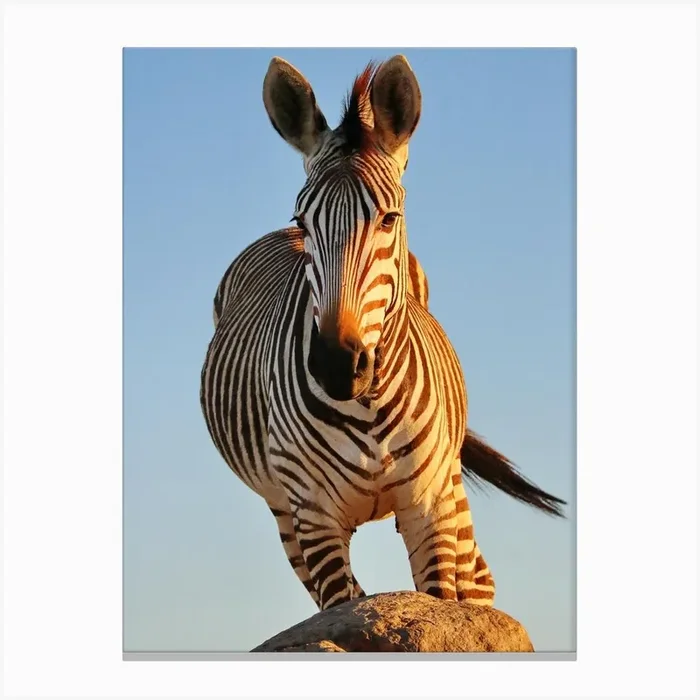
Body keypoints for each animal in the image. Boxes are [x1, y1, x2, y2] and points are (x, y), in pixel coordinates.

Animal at [200, 55, 565, 612]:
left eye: (390, 218)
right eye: (303, 222)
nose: (336, 365)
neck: (368, 405)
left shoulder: (430, 508)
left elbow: (439, 603)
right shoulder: (313, 517)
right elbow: (348, 607)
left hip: (451, 487)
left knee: (477, 584)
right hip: (283, 511)